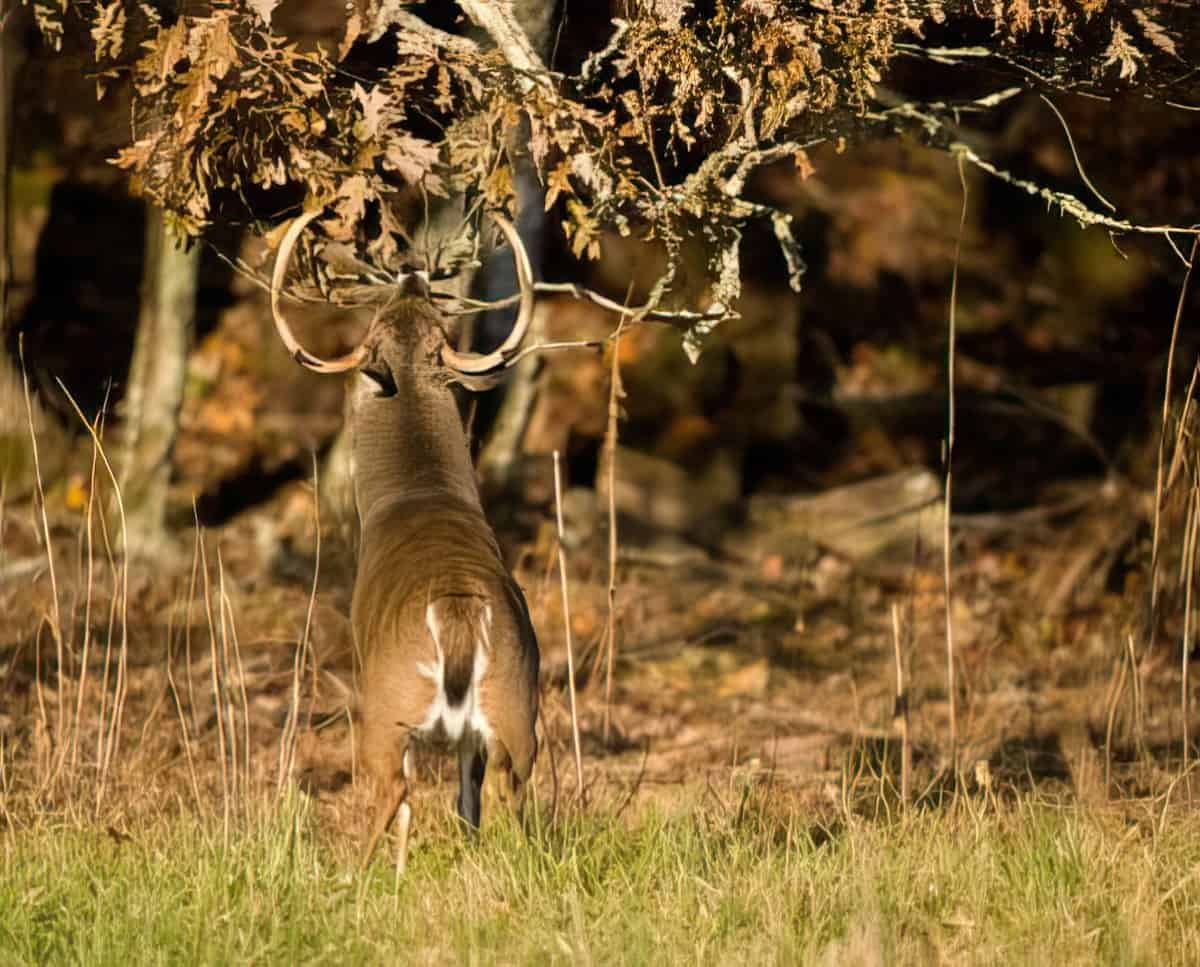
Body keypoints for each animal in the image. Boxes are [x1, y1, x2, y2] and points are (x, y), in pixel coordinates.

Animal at [269, 207, 540, 873]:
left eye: (375, 322)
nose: (413, 274)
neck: (418, 491)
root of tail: (458, 612)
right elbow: (466, 802)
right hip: (517, 704)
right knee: (508, 791)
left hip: (386, 707)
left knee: (393, 789)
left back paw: (355, 877)